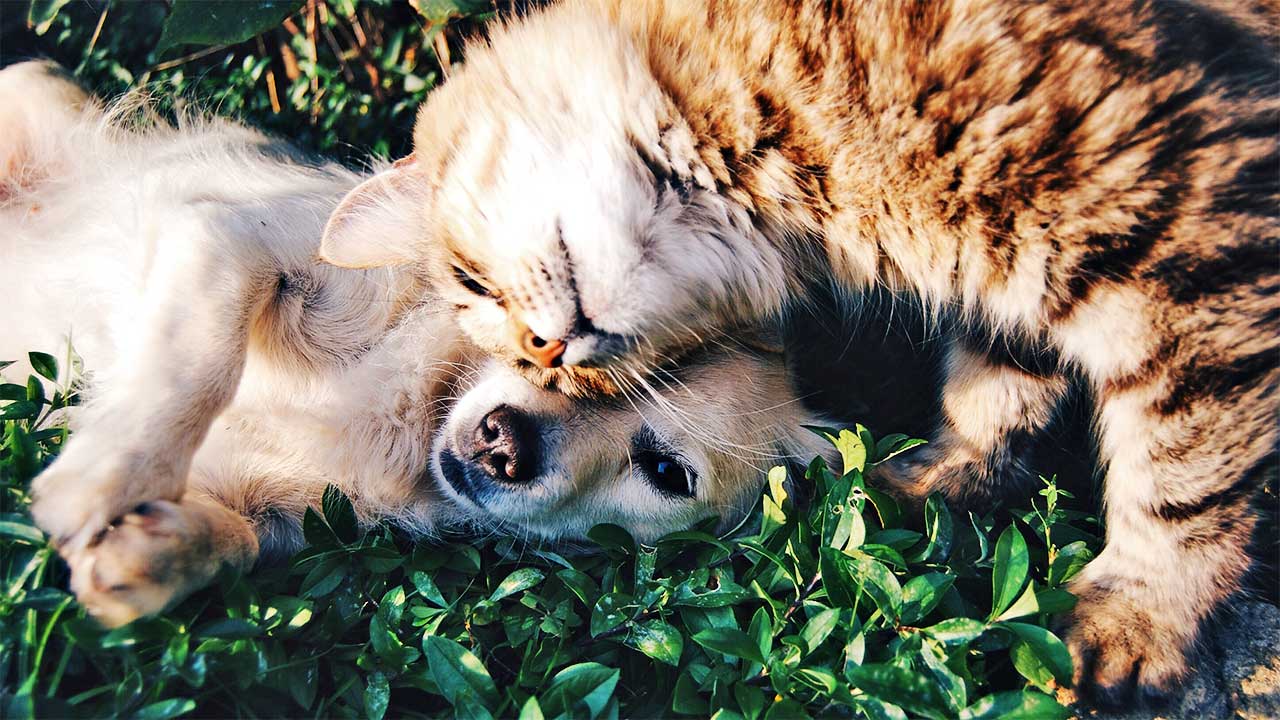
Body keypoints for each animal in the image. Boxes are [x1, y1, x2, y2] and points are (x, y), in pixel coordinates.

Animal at [2, 60, 839, 622]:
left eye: (666, 472)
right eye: (546, 344)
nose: (505, 442)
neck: (415, 411)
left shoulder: (277, 512)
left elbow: (236, 541)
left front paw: (152, 554)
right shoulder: (232, 239)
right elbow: (196, 364)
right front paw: (103, 478)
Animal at [317, 0, 1280, 707]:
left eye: (472, 283)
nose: (548, 351)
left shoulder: (1189, 247)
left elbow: (1183, 477)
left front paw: (1141, 618)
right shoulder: (1015, 283)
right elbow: (994, 394)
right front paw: (938, 481)